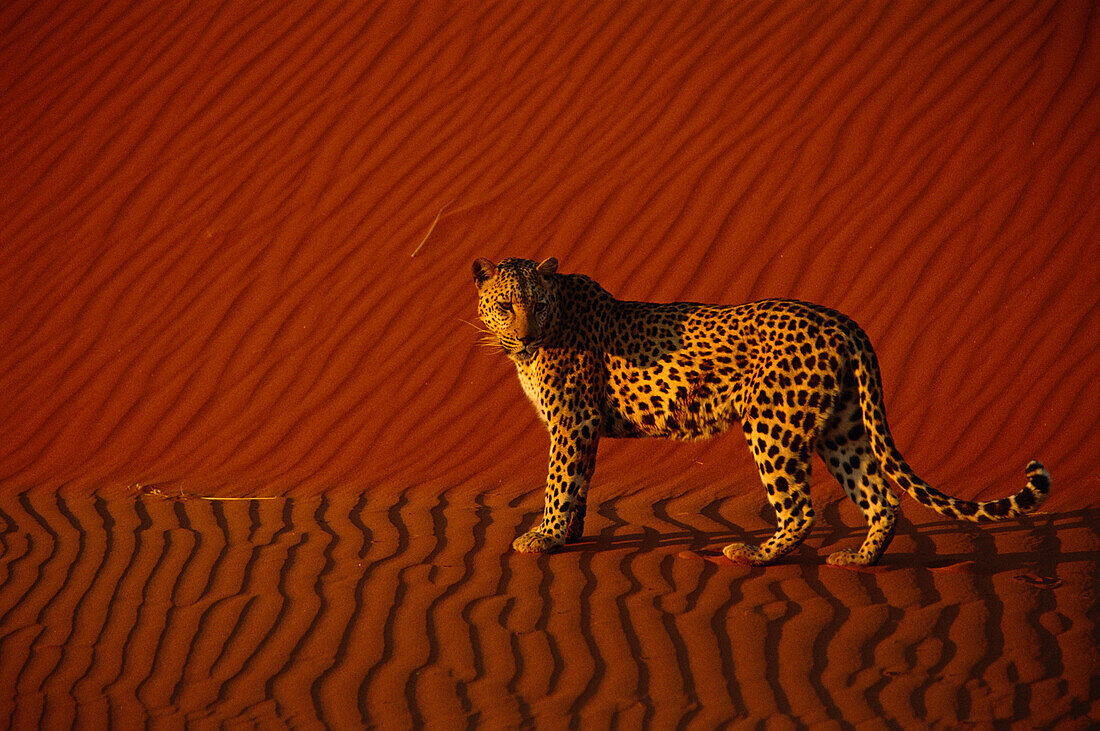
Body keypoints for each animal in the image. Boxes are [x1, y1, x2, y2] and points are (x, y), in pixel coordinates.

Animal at [470, 255, 1047, 562]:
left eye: (538, 304)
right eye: (506, 305)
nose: (527, 334)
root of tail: (846, 323)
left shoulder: (573, 421)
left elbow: (560, 481)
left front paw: (542, 537)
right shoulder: (583, 427)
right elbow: (580, 485)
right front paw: (568, 537)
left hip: (773, 424)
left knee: (801, 508)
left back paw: (752, 554)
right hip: (842, 428)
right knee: (882, 497)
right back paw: (858, 560)